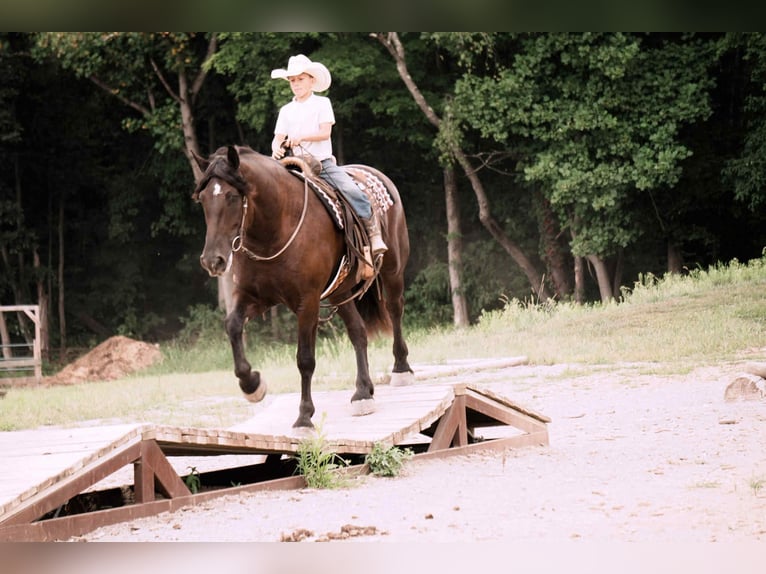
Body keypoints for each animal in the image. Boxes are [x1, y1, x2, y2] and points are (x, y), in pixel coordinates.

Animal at [192, 145, 414, 428]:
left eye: (231, 196)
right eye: (203, 199)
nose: (212, 260)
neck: (274, 230)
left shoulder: (307, 302)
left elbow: (305, 359)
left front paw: (304, 416)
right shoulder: (254, 296)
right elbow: (232, 325)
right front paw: (252, 384)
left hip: (393, 270)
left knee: (395, 309)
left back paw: (401, 369)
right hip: (340, 292)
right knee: (358, 332)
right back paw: (363, 393)